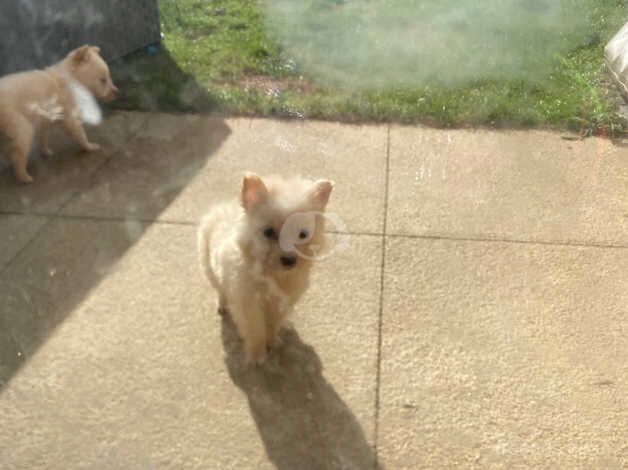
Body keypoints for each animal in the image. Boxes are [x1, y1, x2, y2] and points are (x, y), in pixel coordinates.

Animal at [0, 44, 118, 184]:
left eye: (109, 76)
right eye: (102, 79)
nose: (116, 92)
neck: (74, 80)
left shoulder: (45, 114)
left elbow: (44, 133)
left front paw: (46, 151)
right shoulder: (68, 107)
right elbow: (77, 130)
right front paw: (90, 146)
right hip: (17, 120)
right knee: (19, 146)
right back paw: (24, 177)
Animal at [199, 173, 334, 364]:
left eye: (303, 235)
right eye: (268, 232)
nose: (289, 261)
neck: (273, 275)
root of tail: (219, 208)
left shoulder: (280, 304)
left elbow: (272, 325)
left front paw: (273, 342)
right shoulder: (249, 304)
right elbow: (255, 331)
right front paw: (258, 356)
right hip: (208, 268)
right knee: (220, 290)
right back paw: (222, 306)